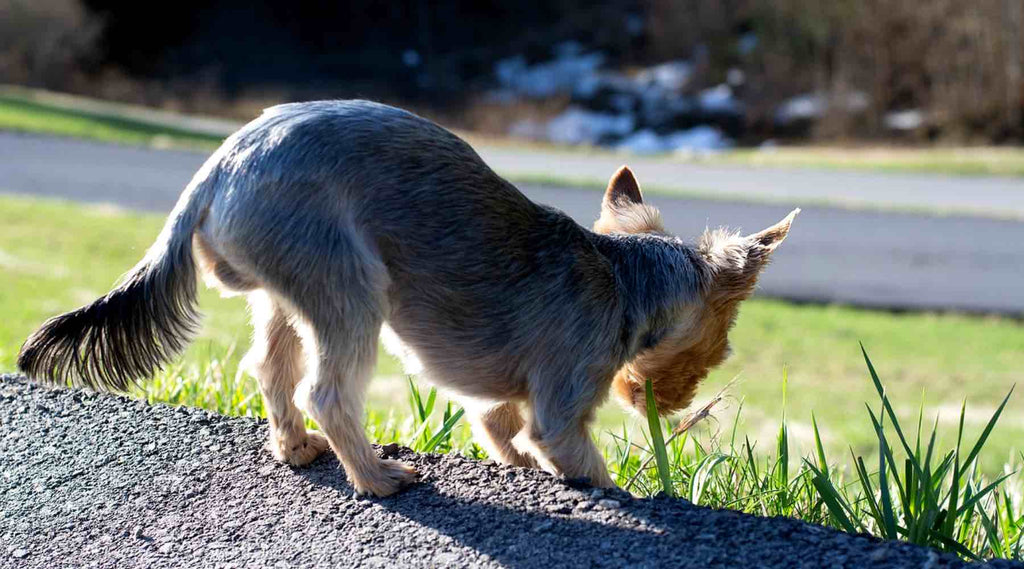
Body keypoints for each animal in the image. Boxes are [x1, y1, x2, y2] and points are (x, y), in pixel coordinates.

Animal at [18, 99, 798, 495]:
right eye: (722, 345)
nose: (675, 405)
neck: (625, 275)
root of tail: (217, 166)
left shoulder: (497, 396)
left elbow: (499, 424)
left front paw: (513, 462)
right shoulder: (567, 394)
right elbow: (572, 452)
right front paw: (611, 490)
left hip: (287, 288)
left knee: (271, 368)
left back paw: (296, 449)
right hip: (348, 280)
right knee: (328, 390)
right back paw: (377, 477)